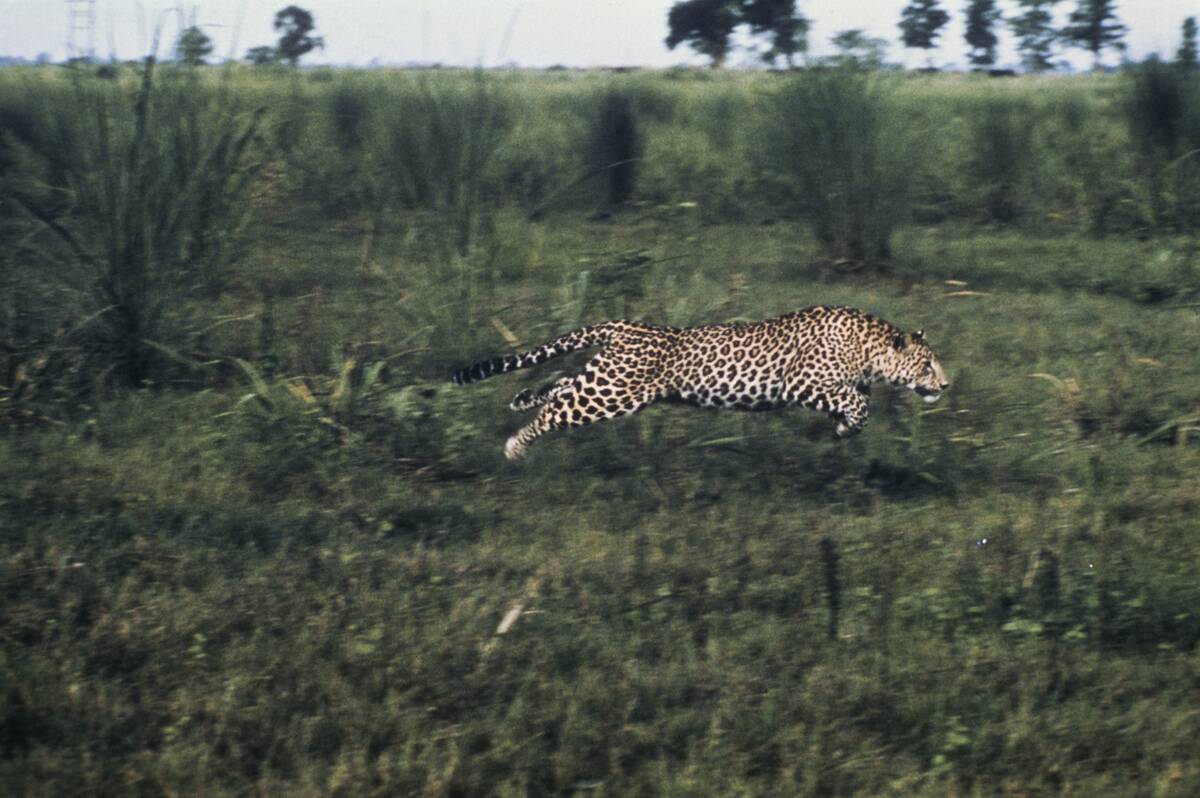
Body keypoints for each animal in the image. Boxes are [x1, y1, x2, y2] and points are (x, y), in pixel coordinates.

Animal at [451, 305, 949, 460]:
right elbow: (860, 405)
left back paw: (521, 399)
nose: (944, 386)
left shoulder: (839, 388)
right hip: (611, 393)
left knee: (560, 386)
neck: (870, 349)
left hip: (603, 378)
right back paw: (516, 445)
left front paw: (845, 428)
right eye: (928, 365)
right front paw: (848, 426)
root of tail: (625, 325)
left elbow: (859, 405)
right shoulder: (802, 383)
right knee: (555, 410)